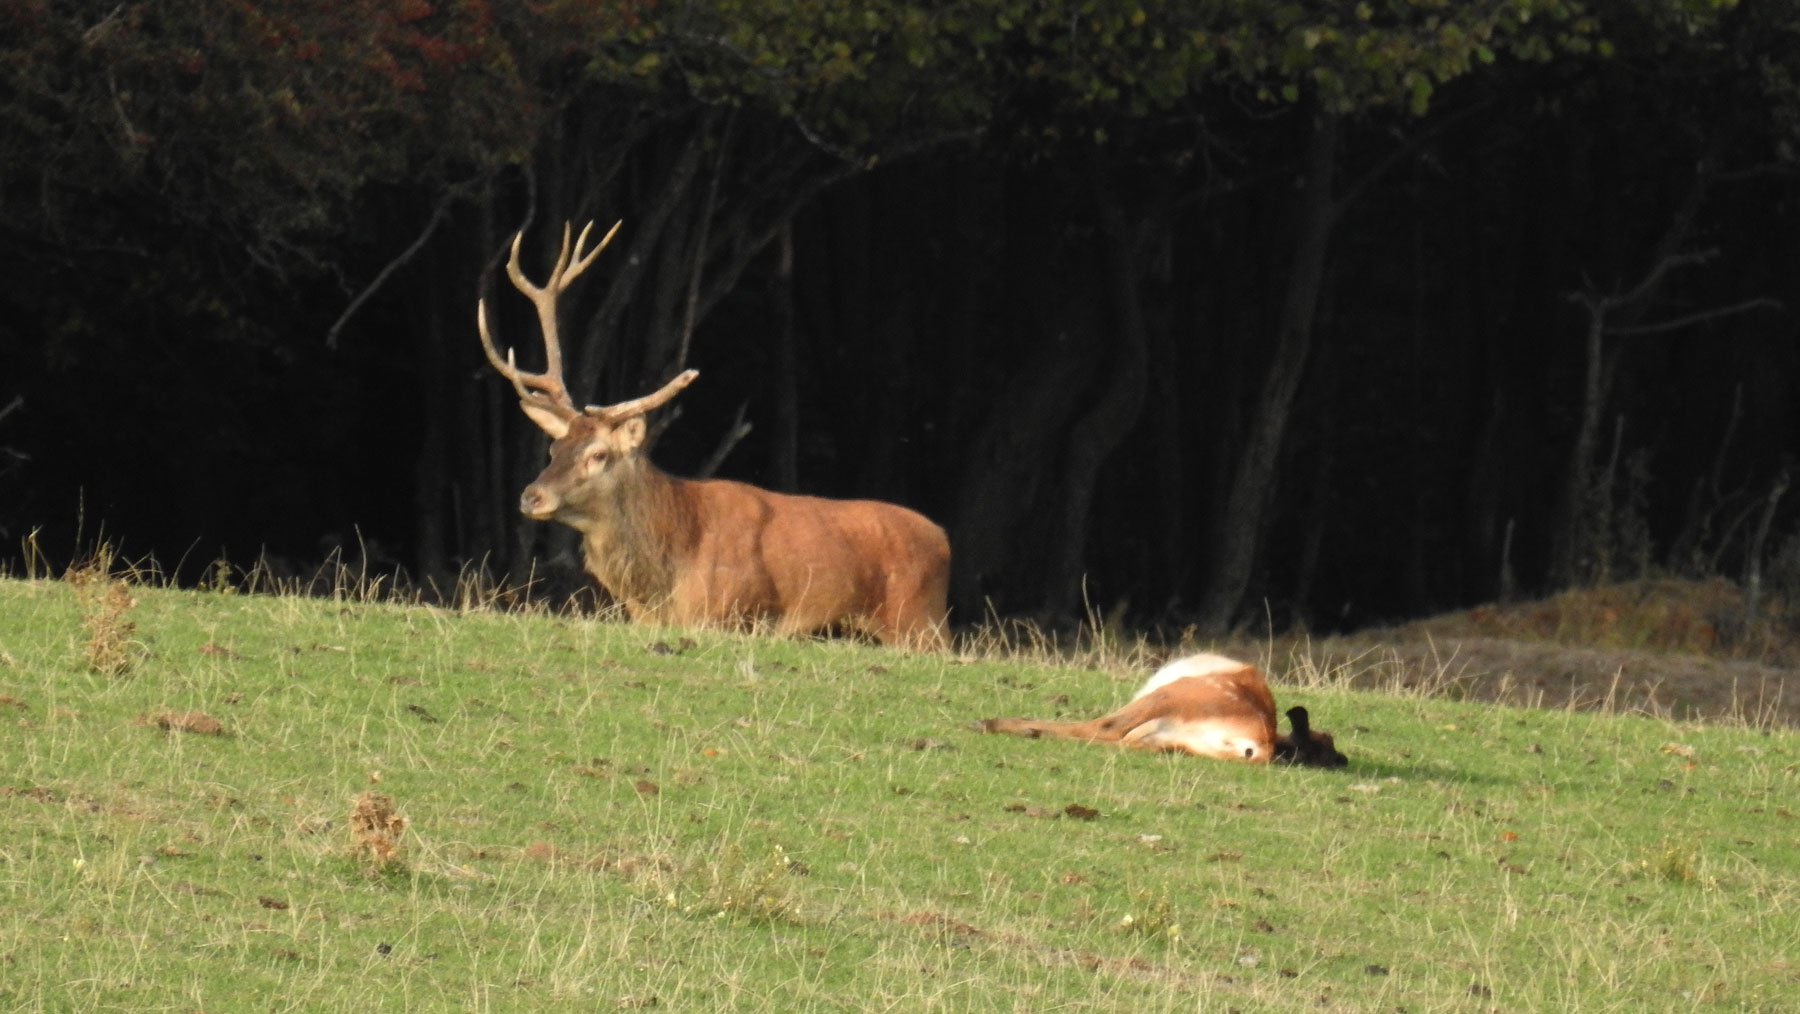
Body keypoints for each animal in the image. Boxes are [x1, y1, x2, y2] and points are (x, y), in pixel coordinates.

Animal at [478, 222, 957, 651]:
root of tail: (944, 540)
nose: (532, 495)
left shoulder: (730, 614)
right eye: (554, 447)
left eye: (598, 454)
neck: (668, 572)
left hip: (920, 622)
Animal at [979, 655, 1346, 767]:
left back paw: (996, 723)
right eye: (1325, 739)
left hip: (1171, 696)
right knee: (1120, 739)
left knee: (1105, 727)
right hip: (1167, 738)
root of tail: (1258, 747)